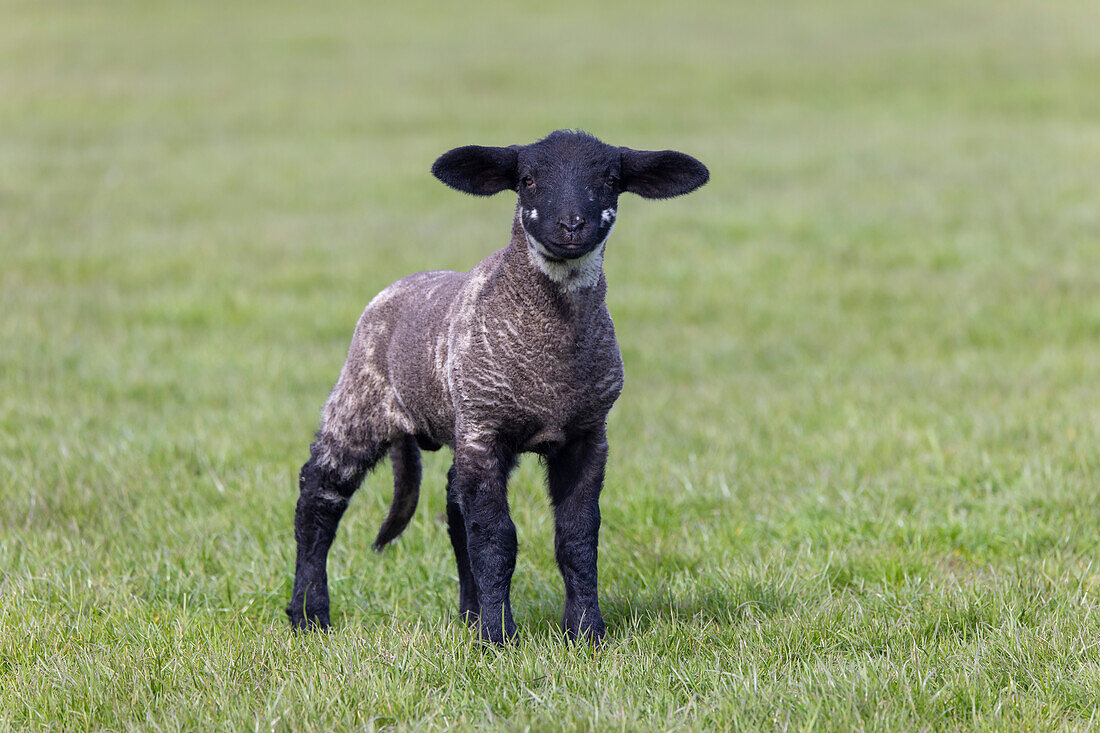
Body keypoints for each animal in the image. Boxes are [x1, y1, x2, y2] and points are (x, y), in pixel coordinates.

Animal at [288, 128, 708, 642]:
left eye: (611, 180)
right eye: (527, 179)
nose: (572, 225)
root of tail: (400, 285)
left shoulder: (587, 435)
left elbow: (577, 537)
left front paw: (585, 632)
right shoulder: (485, 430)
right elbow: (496, 539)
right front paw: (498, 639)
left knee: (454, 510)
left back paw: (468, 614)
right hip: (360, 402)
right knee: (318, 498)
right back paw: (309, 614)